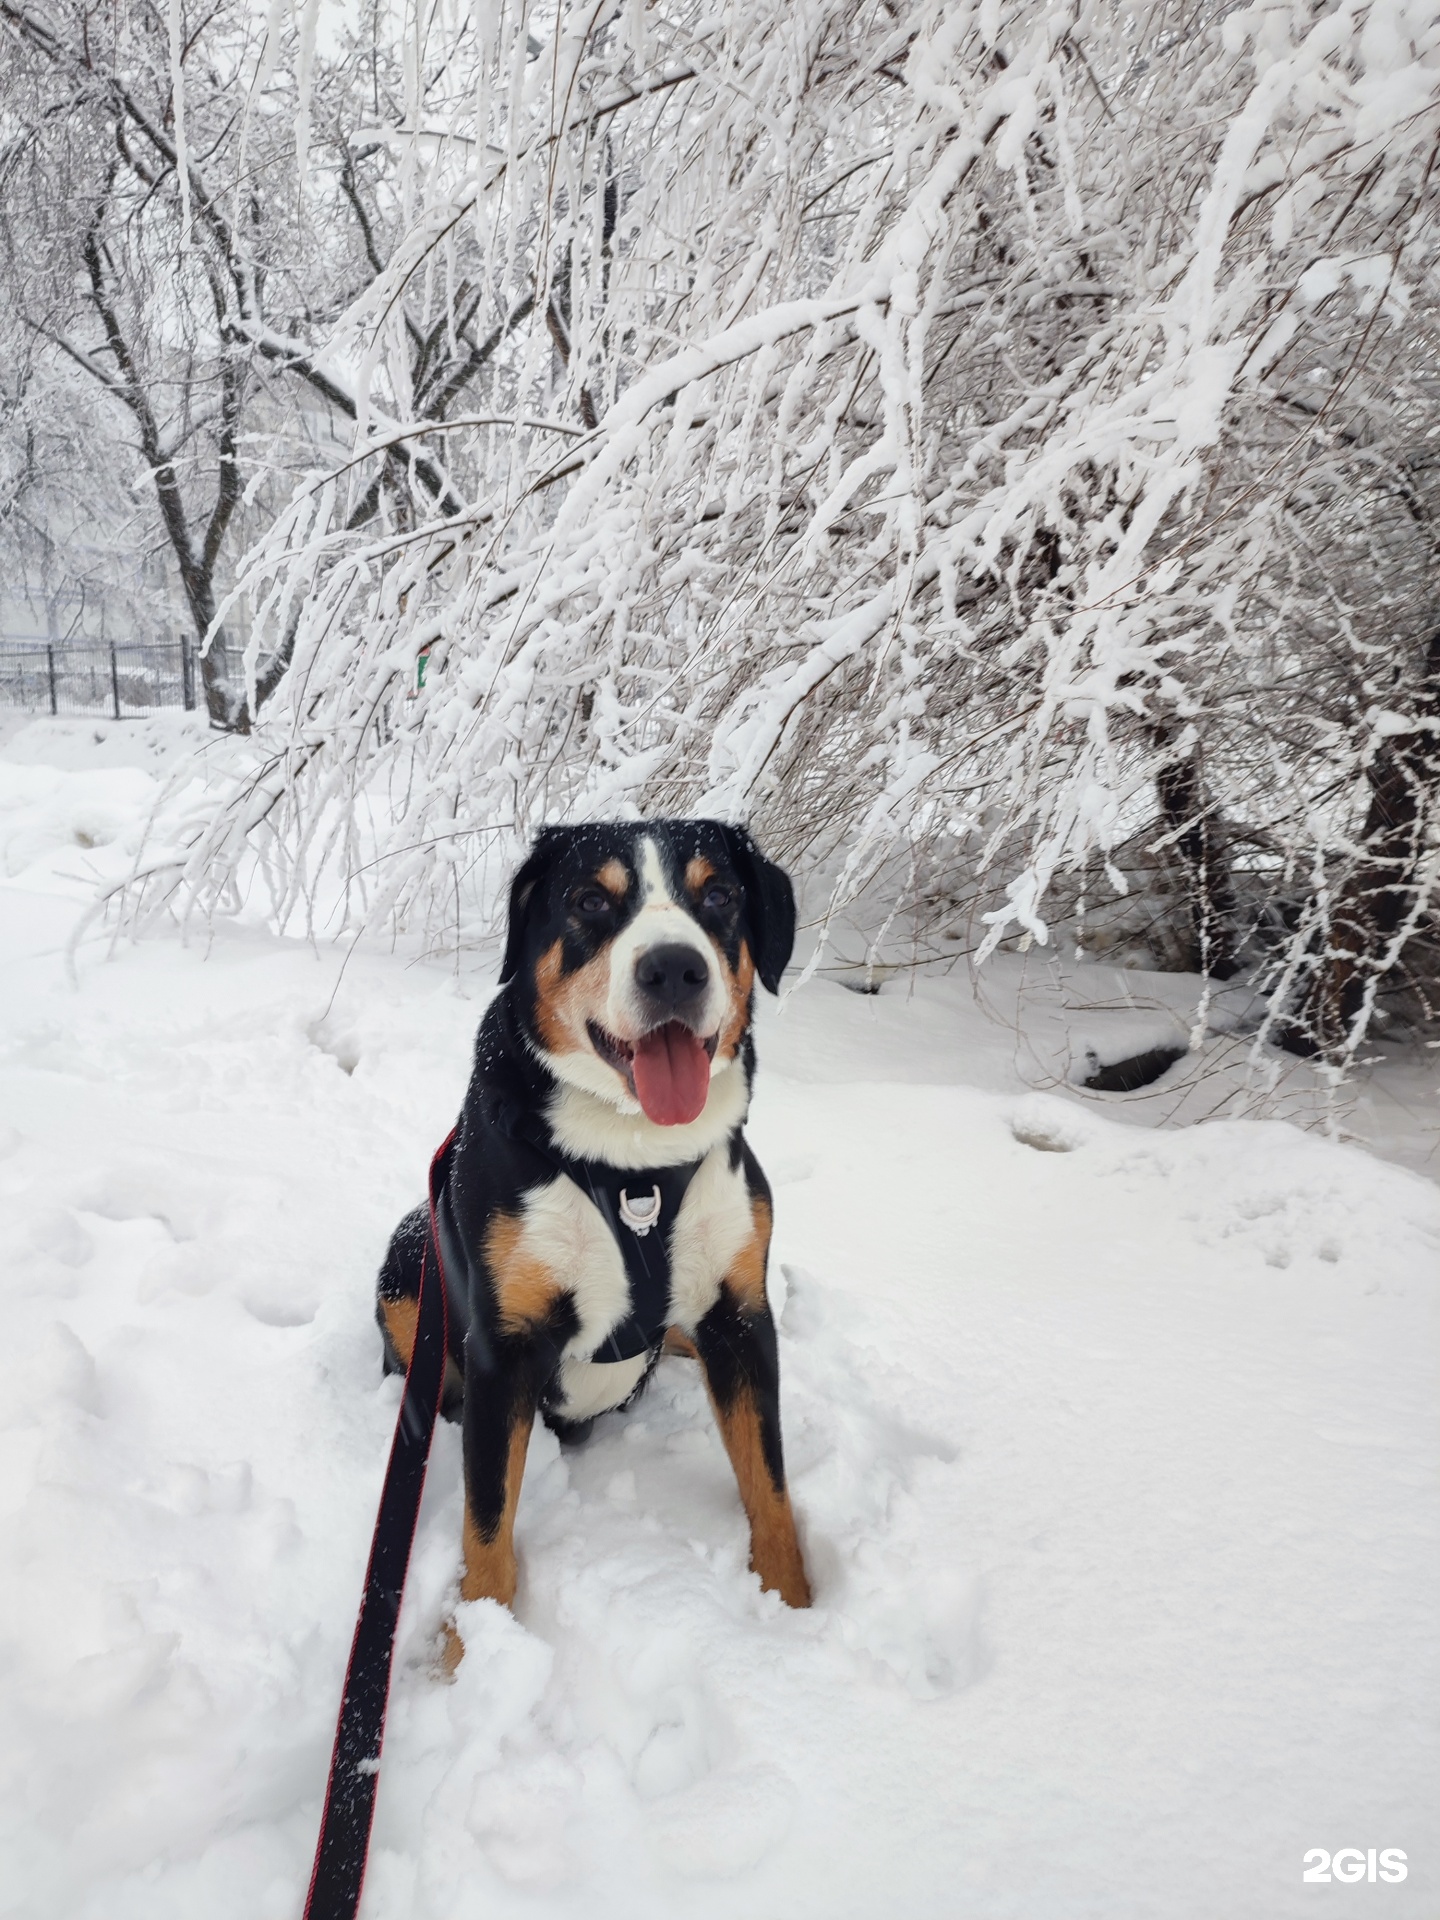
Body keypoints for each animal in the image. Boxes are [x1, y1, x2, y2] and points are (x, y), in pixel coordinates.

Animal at [378, 817, 814, 1658]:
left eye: (719, 893)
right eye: (588, 899)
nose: (674, 969)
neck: (635, 1164)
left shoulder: (739, 1317)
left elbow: (770, 1489)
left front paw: (798, 1612)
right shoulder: (503, 1345)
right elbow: (487, 1526)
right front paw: (472, 1652)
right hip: (407, 1259)